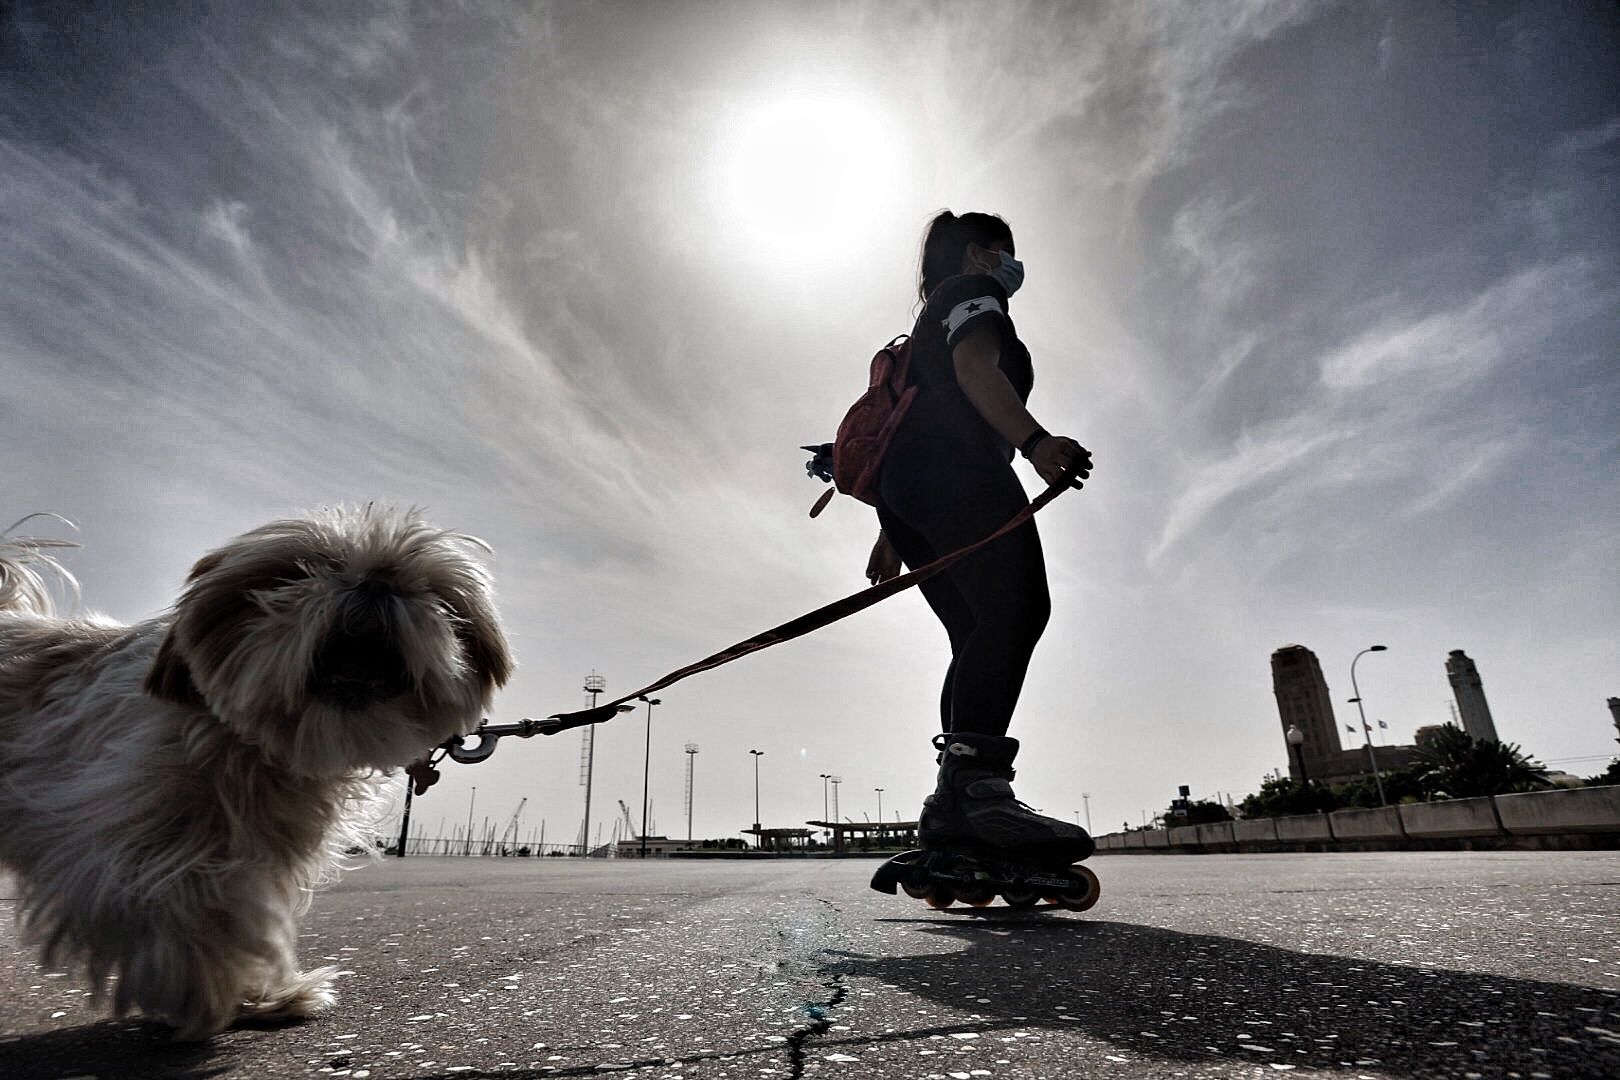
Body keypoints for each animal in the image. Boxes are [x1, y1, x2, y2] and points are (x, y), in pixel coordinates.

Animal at [0, 511, 508, 1042]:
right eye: (297, 573)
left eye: (435, 594)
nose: (377, 579)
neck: (253, 745)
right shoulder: (122, 846)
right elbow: (188, 913)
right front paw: (206, 994)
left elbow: (232, 915)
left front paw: (254, 996)